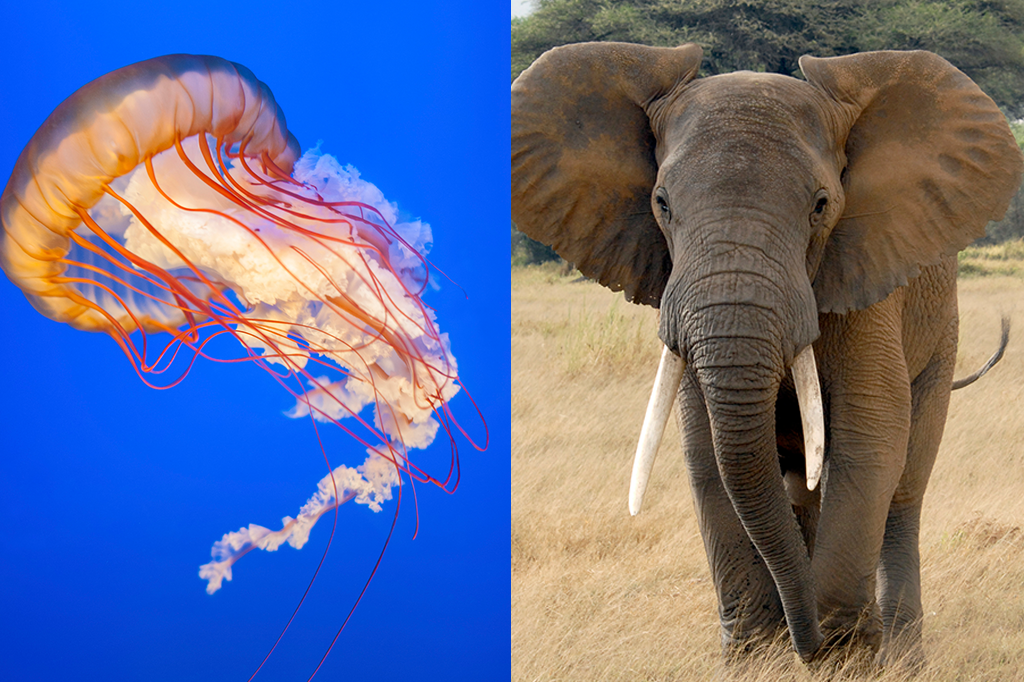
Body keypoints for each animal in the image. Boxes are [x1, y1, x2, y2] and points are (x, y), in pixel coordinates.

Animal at [510, 42, 1023, 664]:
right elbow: (706, 452)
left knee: (903, 489)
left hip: (940, 334)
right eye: (661, 203)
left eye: (821, 206)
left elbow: (870, 433)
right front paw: (759, 655)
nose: (807, 645)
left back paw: (899, 657)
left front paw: (841, 654)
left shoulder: (866, 280)